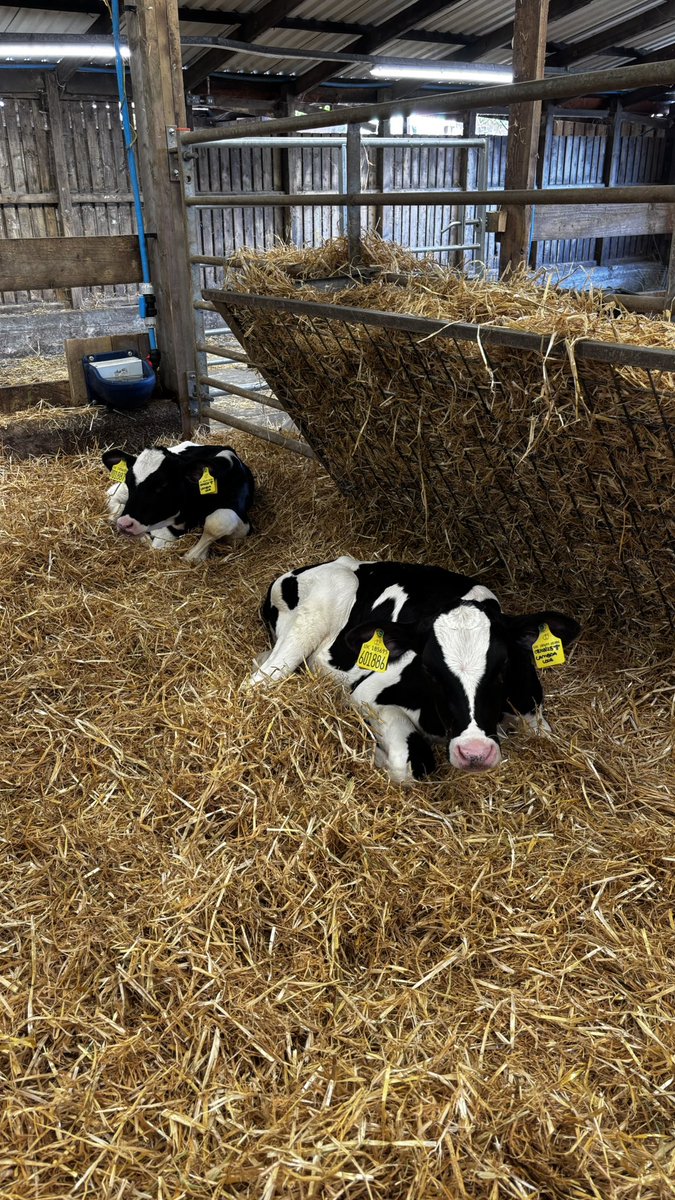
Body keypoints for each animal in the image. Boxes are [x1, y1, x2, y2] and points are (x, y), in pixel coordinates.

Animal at [102, 441, 254, 563]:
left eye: (162, 485)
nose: (124, 524)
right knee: (112, 494)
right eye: (129, 481)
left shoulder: (243, 523)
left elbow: (218, 522)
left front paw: (194, 555)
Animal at [249, 556, 580, 783]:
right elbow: (406, 765)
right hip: (319, 607)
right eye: (430, 671)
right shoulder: (366, 695)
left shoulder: (533, 713)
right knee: (257, 683)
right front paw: (377, 755)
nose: (474, 752)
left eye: (503, 666)